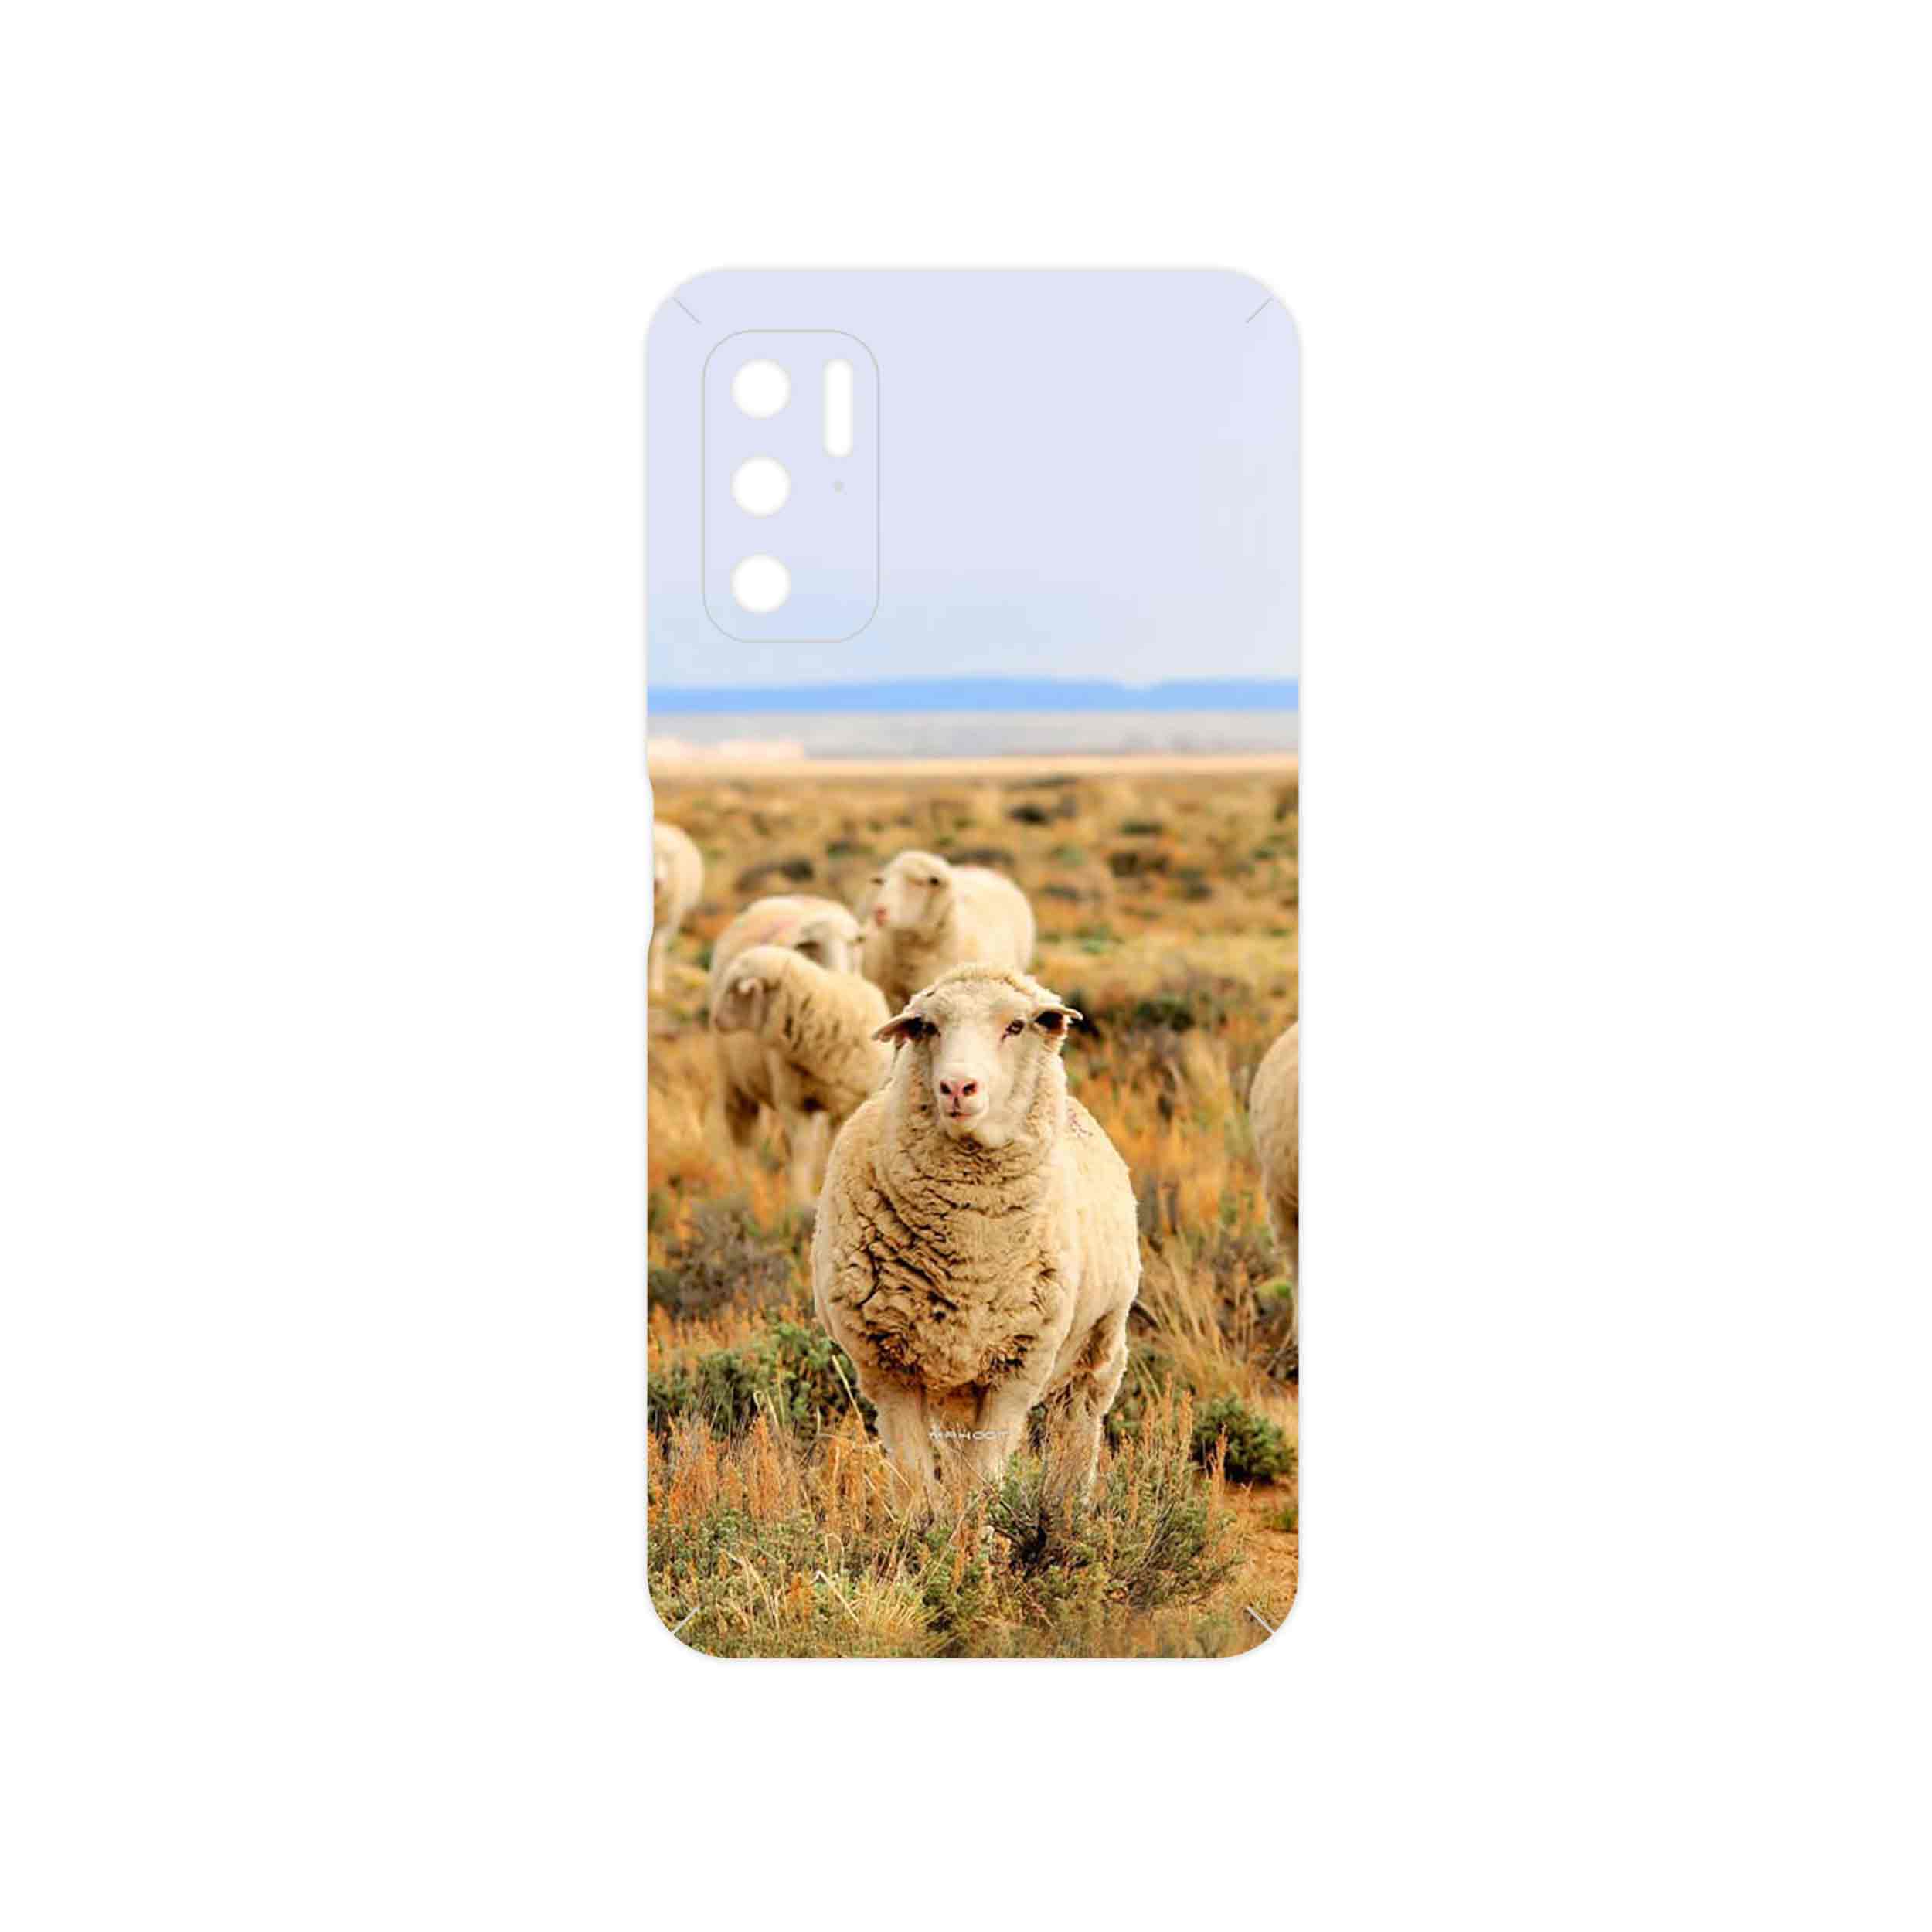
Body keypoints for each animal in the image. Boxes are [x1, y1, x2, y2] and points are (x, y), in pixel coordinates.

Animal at [710, 945, 892, 1203]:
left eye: (735, 990)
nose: (715, 1019)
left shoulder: (850, 1104)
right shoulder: (795, 1104)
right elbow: (802, 1153)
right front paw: (801, 1198)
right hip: (735, 1086)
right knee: (743, 1136)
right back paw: (746, 1184)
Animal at [812, 963, 1140, 1501]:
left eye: (1016, 1026)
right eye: (928, 1027)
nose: (958, 1087)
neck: (969, 1252)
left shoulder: (1016, 1370)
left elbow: (983, 1481)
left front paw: (981, 1525)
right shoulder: (889, 1369)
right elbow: (916, 1482)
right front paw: (929, 1525)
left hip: (1098, 1347)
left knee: (1077, 1429)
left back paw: (1069, 1506)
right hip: (956, 1386)